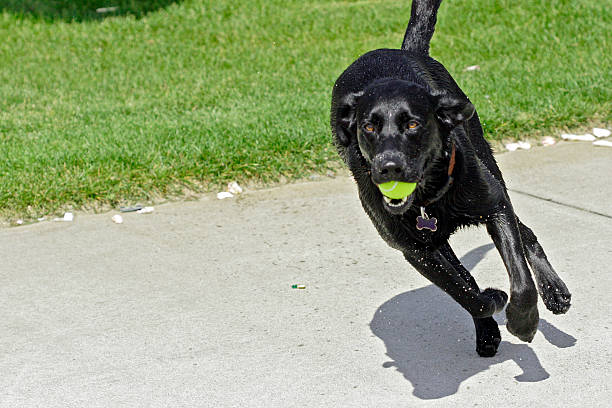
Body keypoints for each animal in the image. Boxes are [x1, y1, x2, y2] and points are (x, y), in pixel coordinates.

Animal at [332, 0, 572, 356]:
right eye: (369, 127)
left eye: (413, 124)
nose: (389, 167)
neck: (428, 197)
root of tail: (404, 50)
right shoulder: (418, 251)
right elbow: (468, 294)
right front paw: (492, 304)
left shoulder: (495, 207)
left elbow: (521, 279)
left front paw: (523, 321)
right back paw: (487, 330)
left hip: (489, 165)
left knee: (525, 232)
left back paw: (554, 291)